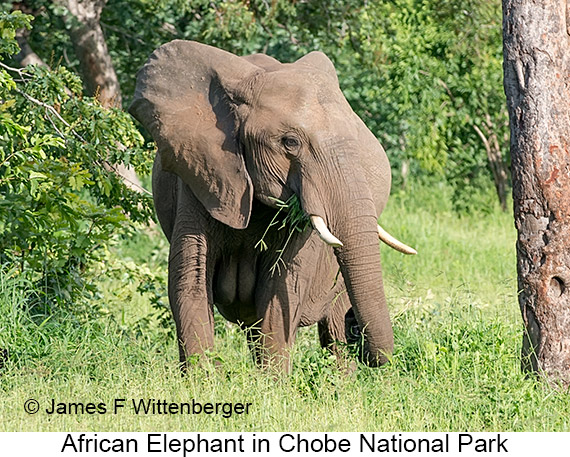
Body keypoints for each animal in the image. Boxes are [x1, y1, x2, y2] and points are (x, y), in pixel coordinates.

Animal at [127, 41, 412, 372]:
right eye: (290, 143)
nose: (357, 327)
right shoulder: (200, 176)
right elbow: (190, 281)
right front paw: (203, 380)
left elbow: (279, 290)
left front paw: (272, 383)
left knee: (333, 331)